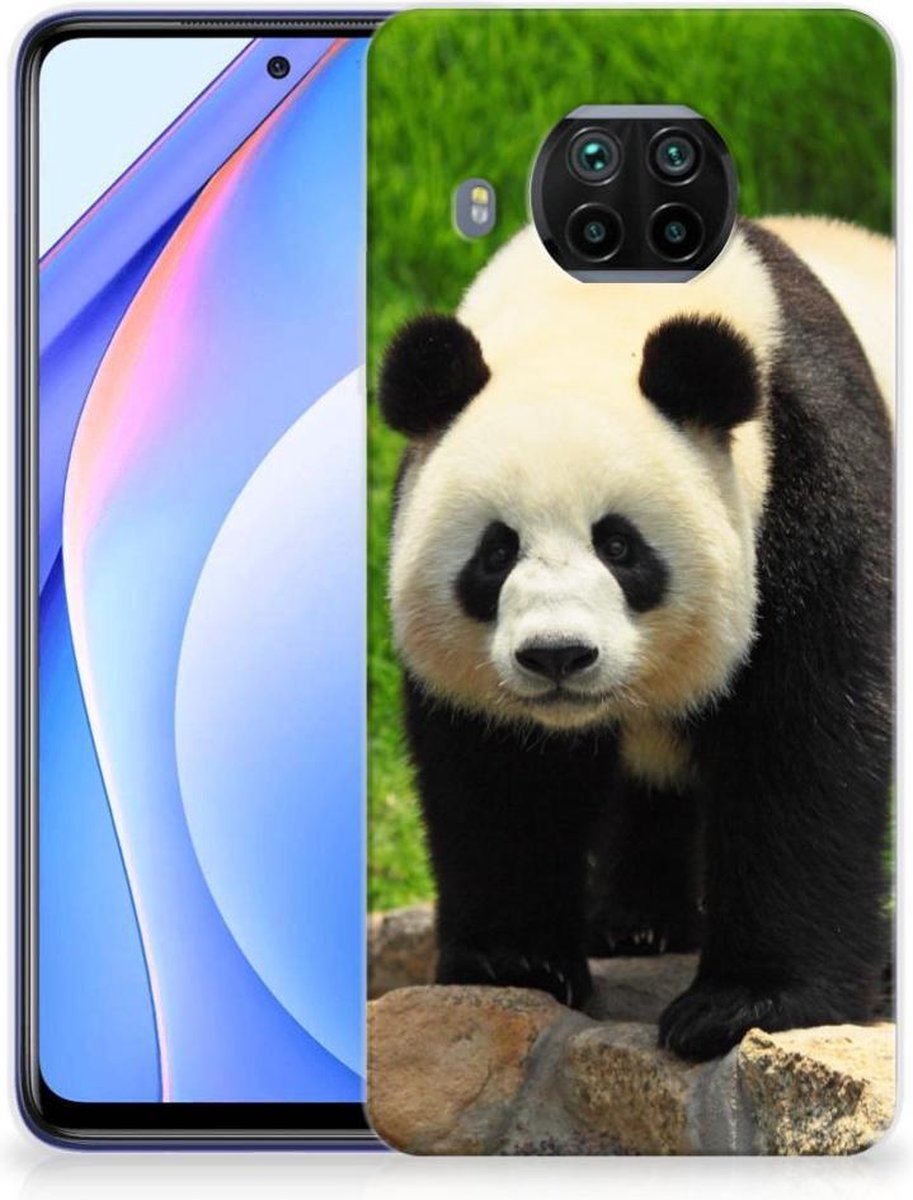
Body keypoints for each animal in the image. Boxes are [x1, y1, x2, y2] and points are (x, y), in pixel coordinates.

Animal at [376, 216, 893, 1062]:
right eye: (495, 552)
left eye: (619, 546)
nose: (556, 656)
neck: (593, 312)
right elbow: (500, 770)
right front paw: (514, 962)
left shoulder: (808, 476)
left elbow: (804, 738)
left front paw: (744, 1003)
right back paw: (636, 923)